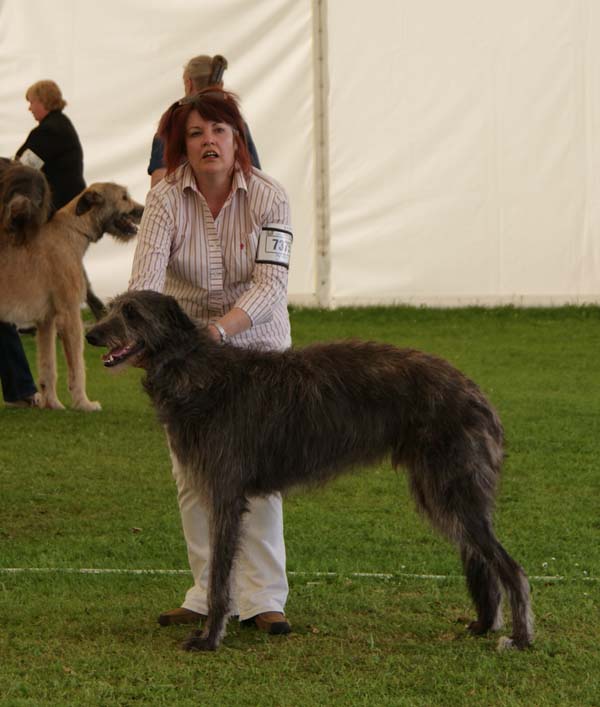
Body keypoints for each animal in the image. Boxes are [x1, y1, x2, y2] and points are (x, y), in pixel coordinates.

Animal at [0, 184, 143, 410]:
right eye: (123, 197)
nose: (143, 210)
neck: (72, 231)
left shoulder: (47, 320)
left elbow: (48, 366)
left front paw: (53, 404)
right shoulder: (70, 313)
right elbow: (77, 363)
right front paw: (84, 403)